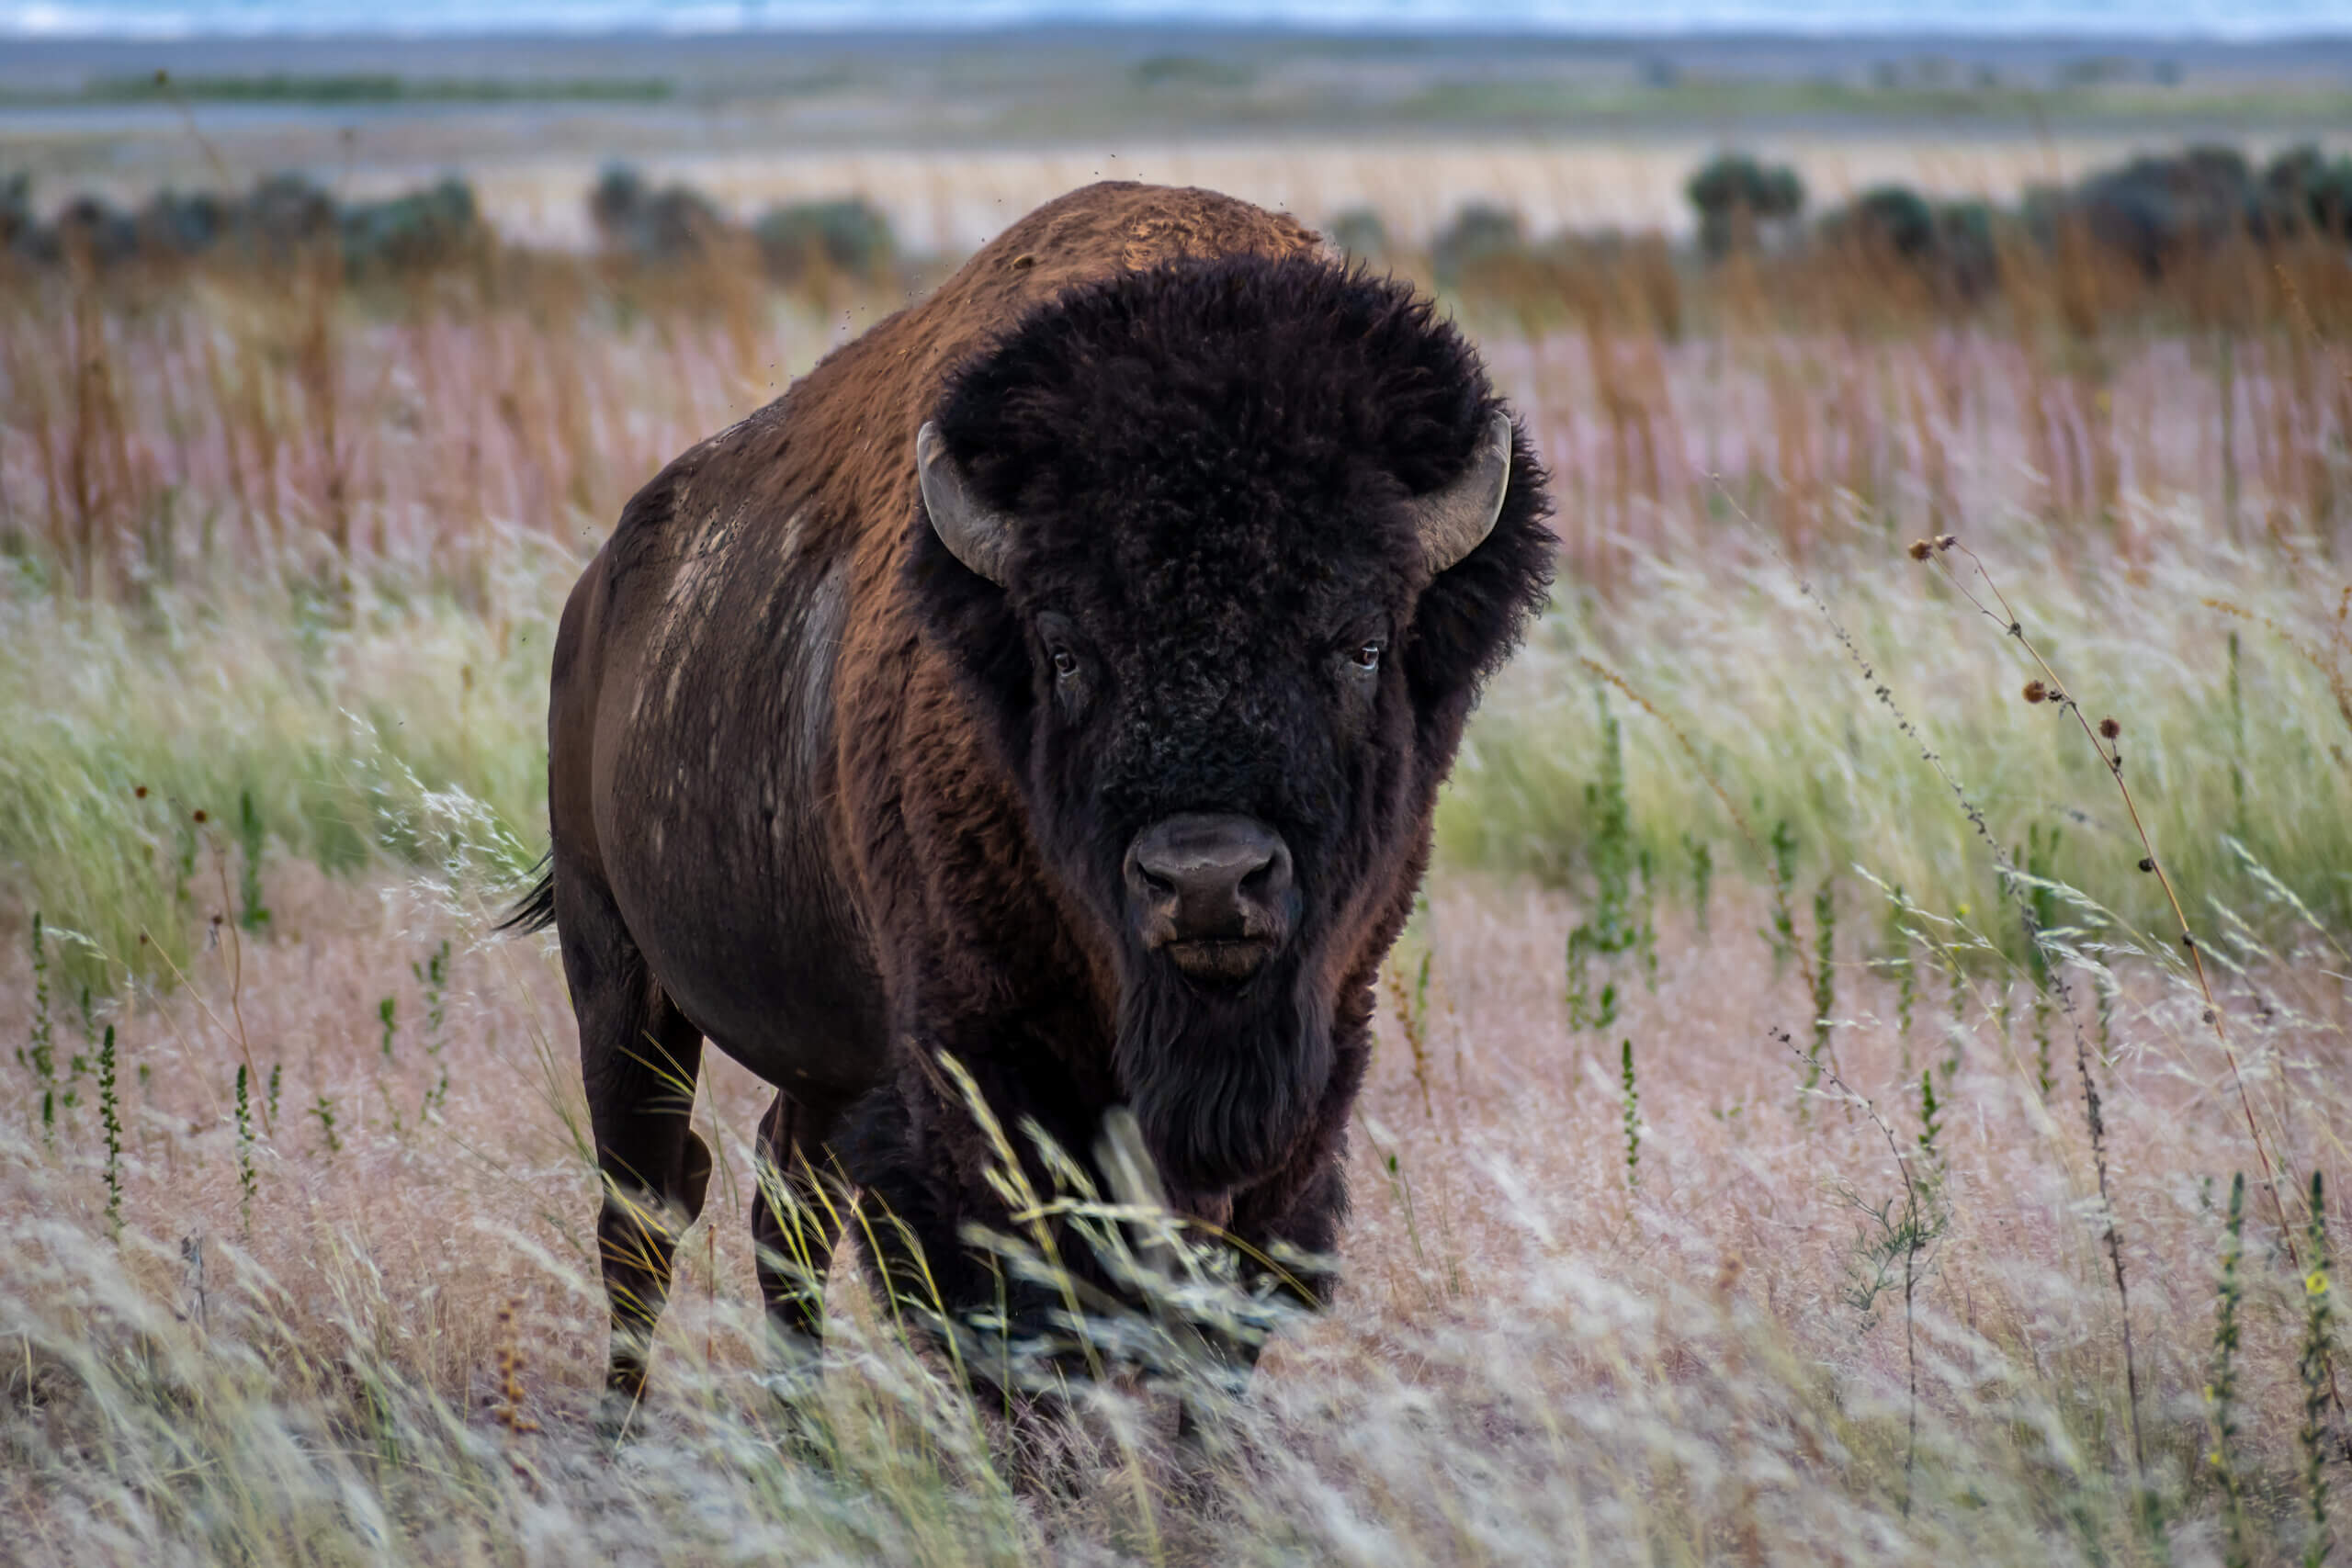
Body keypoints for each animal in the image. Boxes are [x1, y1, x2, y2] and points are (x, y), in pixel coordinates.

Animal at [506, 181, 1554, 1408]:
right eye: (1064, 650)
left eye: (1362, 644)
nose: (1207, 881)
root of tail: (598, 597)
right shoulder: (977, 1067)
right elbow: (1016, 1299)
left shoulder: (1316, 1045)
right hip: (619, 979)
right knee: (647, 1209)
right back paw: (626, 1433)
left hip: (821, 1044)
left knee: (783, 1199)